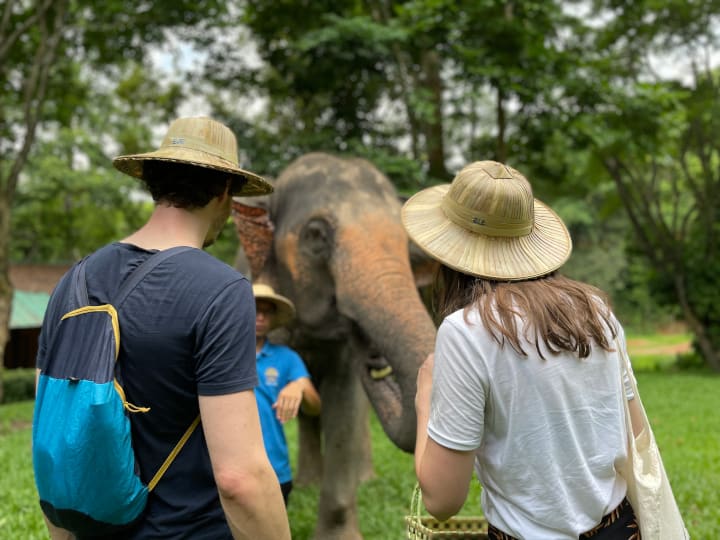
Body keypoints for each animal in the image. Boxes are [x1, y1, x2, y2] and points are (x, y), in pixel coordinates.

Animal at [232, 152, 437, 540]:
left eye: (407, 244)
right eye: (315, 235)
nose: (374, 357)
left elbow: (345, 406)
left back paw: (362, 478)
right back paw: (309, 483)